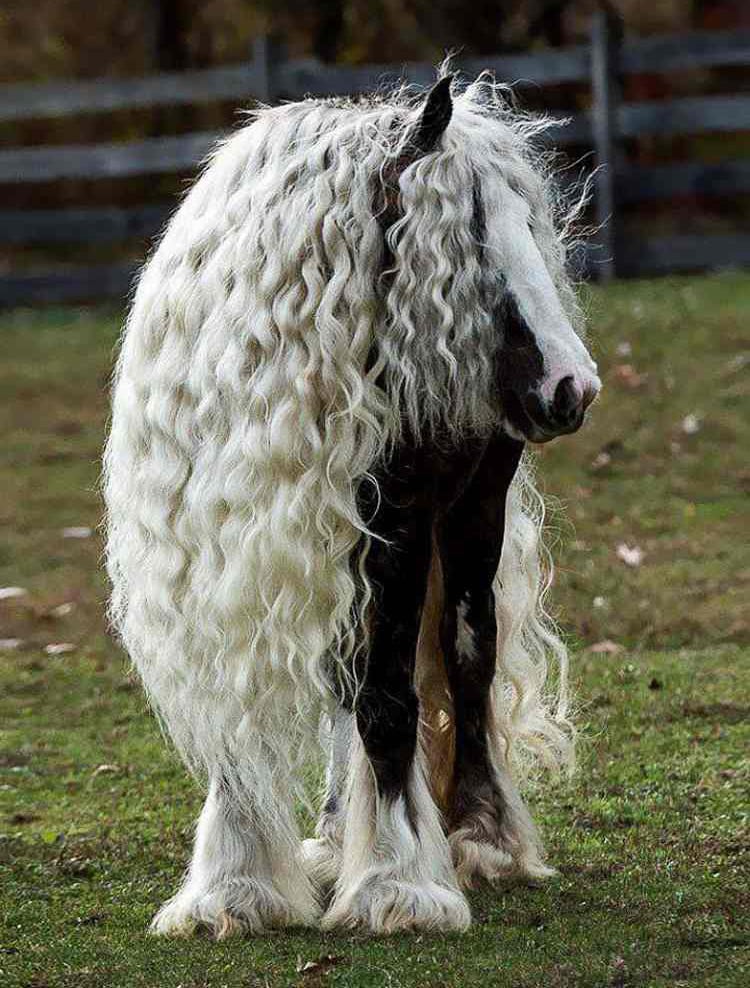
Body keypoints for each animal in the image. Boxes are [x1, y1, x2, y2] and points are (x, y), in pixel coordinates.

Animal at [103, 73, 604, 936]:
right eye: (471, 237)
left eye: (528, 226)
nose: (571, 387)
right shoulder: (223, 557)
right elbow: (252, 705)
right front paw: (234, 886)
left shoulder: (395, 528)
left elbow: (391, 698)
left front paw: (397, 882)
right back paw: (341, 835)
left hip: (470, 515)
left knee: (467, 657)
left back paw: (480, 839)